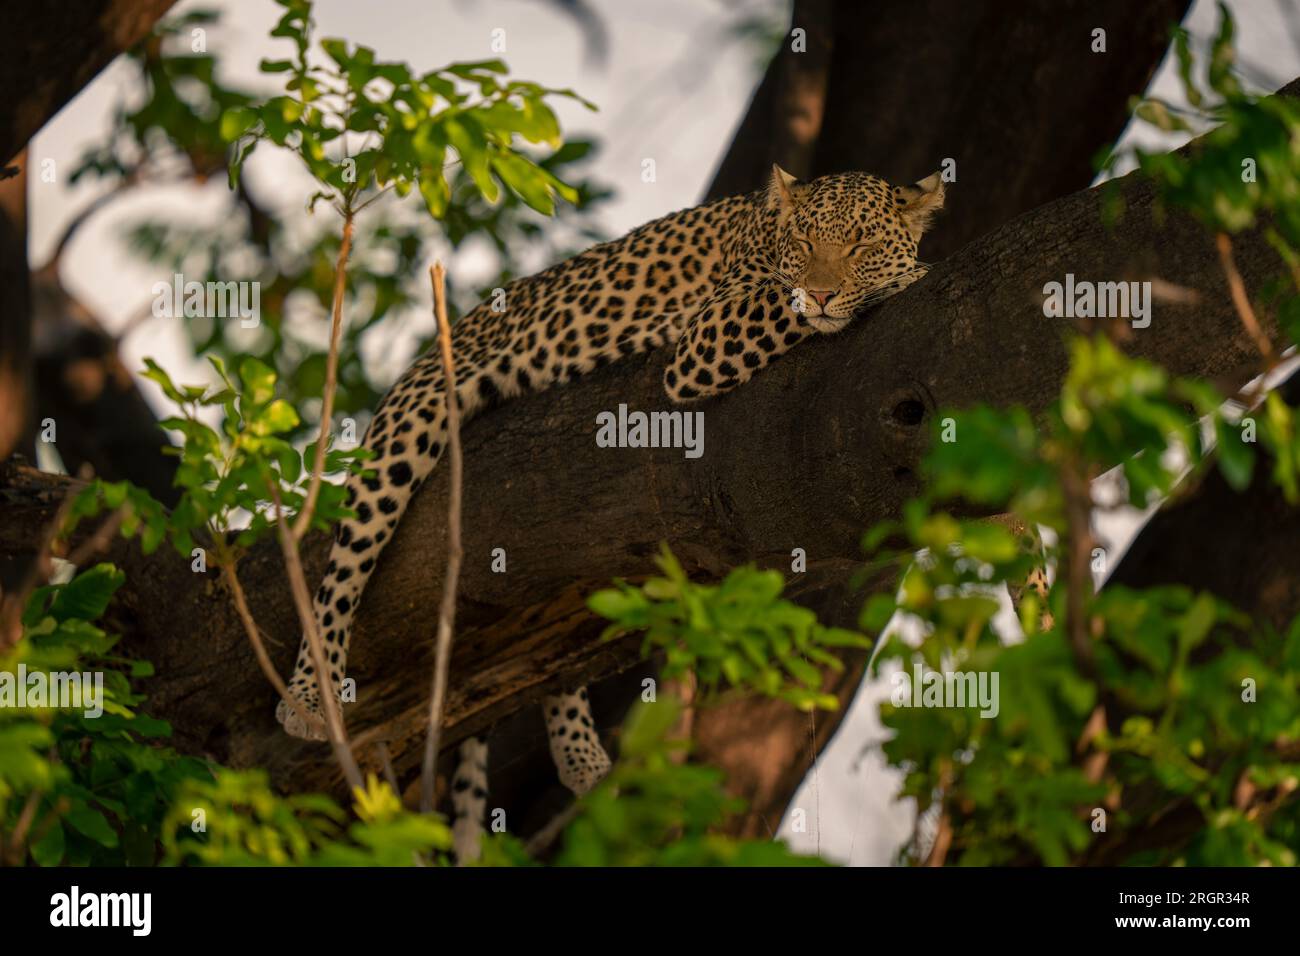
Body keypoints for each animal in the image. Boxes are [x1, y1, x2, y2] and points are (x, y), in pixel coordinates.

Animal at [275, 164, 946, 860]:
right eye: (808, 243)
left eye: (861, 245)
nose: (819, 294)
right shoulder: (708, 331)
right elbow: (789, 301)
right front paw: (912, 275)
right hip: (413, 417)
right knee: (348, 558)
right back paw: (308, 692)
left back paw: (581, 756)